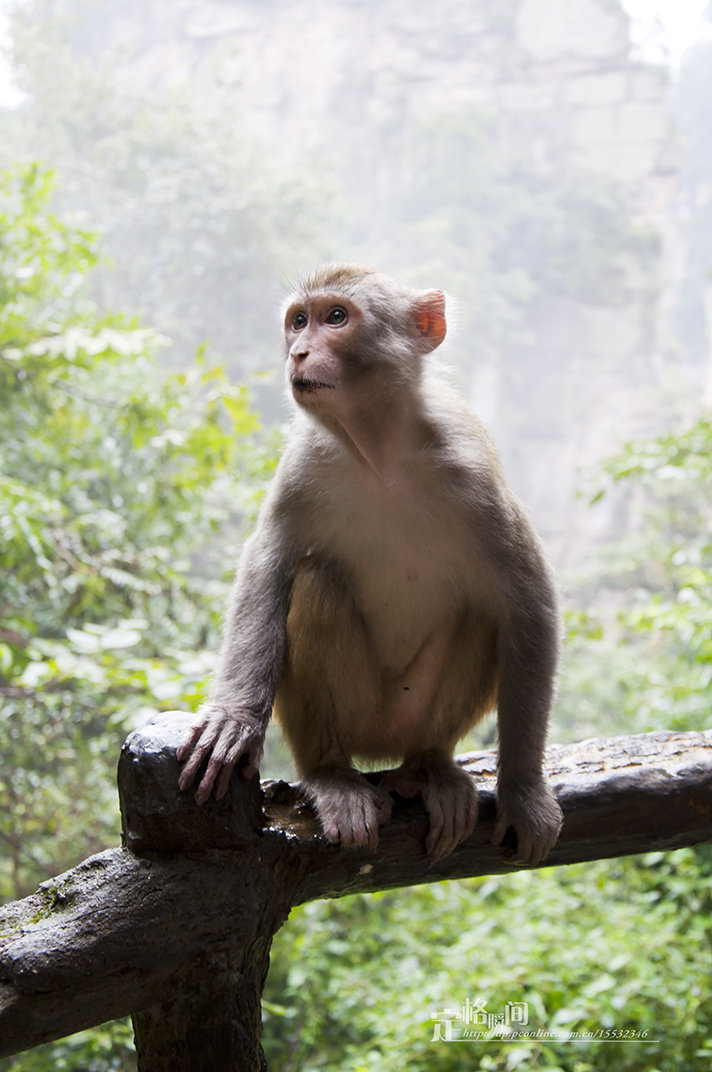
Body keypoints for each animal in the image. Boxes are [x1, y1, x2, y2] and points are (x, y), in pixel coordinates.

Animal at [176, 263, 561, 866]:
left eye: (336, 317)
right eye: (298, 321)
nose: (299, 352)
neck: (380, 452)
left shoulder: (472, 468)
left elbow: (528, 601)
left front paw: (523, 792)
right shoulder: (303, 463)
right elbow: (270, 565)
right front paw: (233, 720)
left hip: (409, 714)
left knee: (482, 616)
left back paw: (429, 768)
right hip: (358, 714)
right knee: (314, 584)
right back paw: (331, 774)